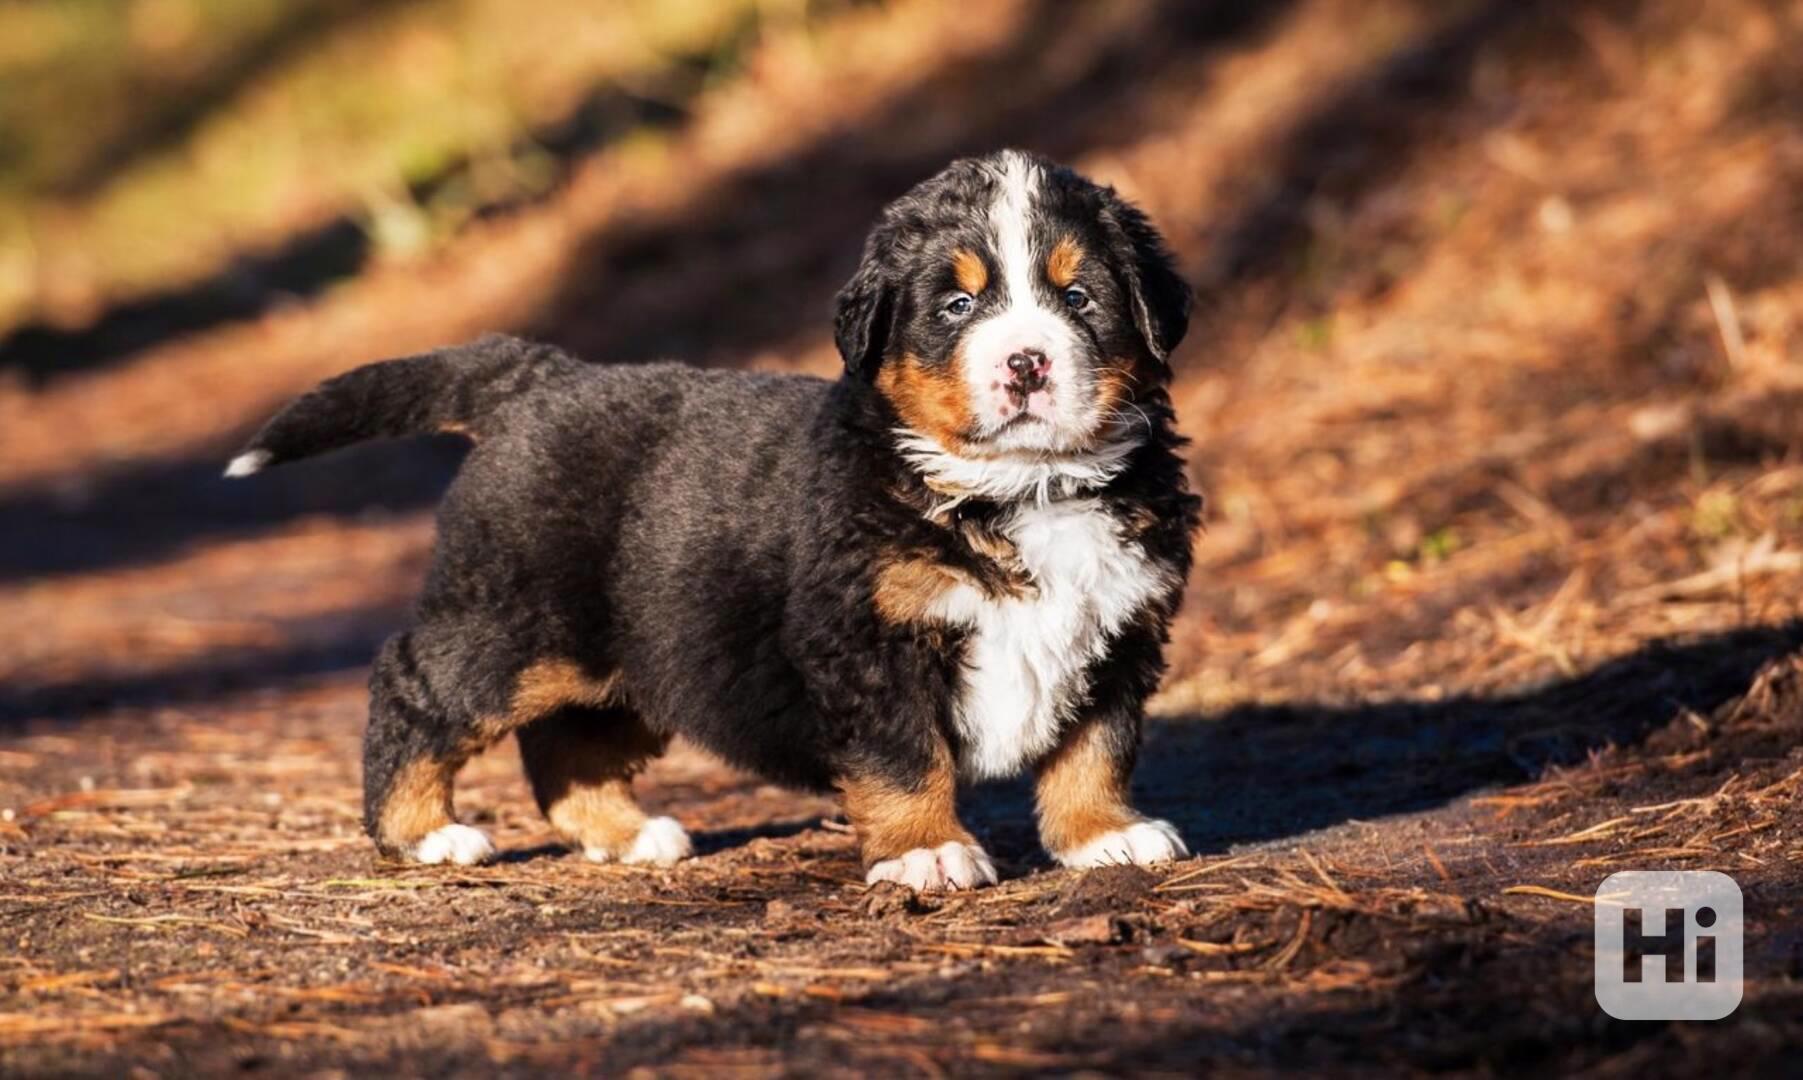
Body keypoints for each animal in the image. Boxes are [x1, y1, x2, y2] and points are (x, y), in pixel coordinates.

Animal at [232, 152, 1204, 894]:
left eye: (1079, 298)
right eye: (956, 306)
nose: (1026, 363)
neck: (1019, 490)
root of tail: (536, 378)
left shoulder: (1120, 629)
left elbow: (1095, 747)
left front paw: (1103, 835)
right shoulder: (867, 641)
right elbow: (903, 755)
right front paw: (925, 852)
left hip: (633, 654)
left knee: (566, 747)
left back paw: (624, 835)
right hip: (511, 622)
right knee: (411, 683)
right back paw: (425, 833)